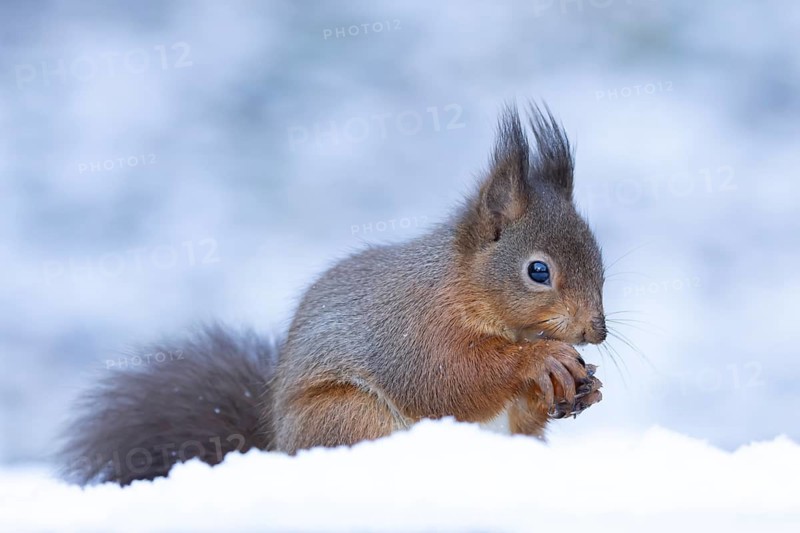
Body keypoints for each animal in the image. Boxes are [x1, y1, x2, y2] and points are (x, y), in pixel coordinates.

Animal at [59, 104, 607, 486]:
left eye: (599, 256)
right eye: (538, 270)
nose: (595, 331)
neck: (464, 287)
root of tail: (278, 449)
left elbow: (520, 411)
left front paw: (588, 387)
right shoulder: (412, 331)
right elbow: (447, 379)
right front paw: (540, 361)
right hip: (346, 416)